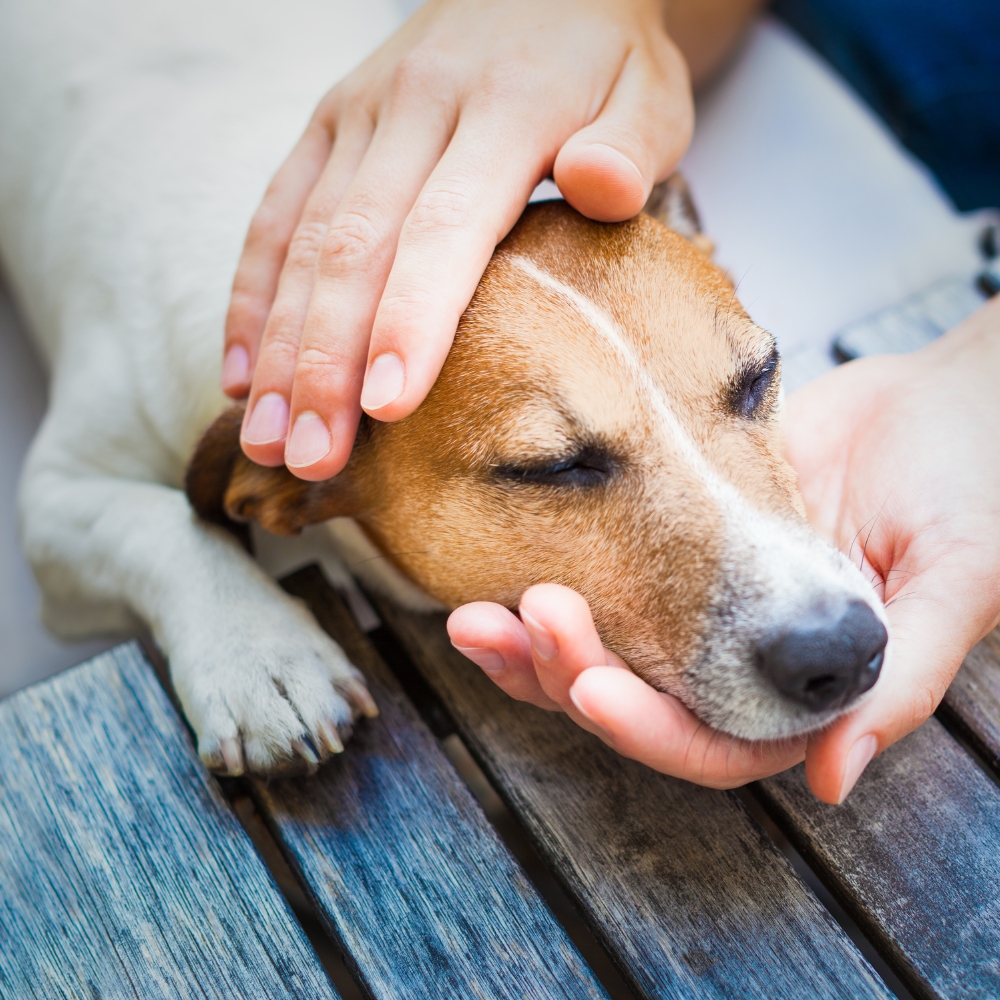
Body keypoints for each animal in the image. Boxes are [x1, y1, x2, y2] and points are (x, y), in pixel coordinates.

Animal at [3, 0, 888, 772]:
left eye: (760, 377)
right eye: (552, 468)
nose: (843, 649)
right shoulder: (54, 500)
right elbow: (162, 524)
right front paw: (260, 656)